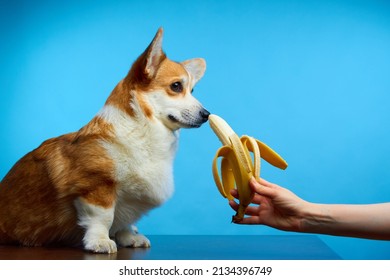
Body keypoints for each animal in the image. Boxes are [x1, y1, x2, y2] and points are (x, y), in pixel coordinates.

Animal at [0, 28, 210, 254]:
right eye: (176, 86)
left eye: (192, 91)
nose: (207, 115)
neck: (141, 130)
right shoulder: (97, 187)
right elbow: (104, 217)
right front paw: (99, 241)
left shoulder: (129, 199)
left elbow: (125, 220)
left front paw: (129, 237)